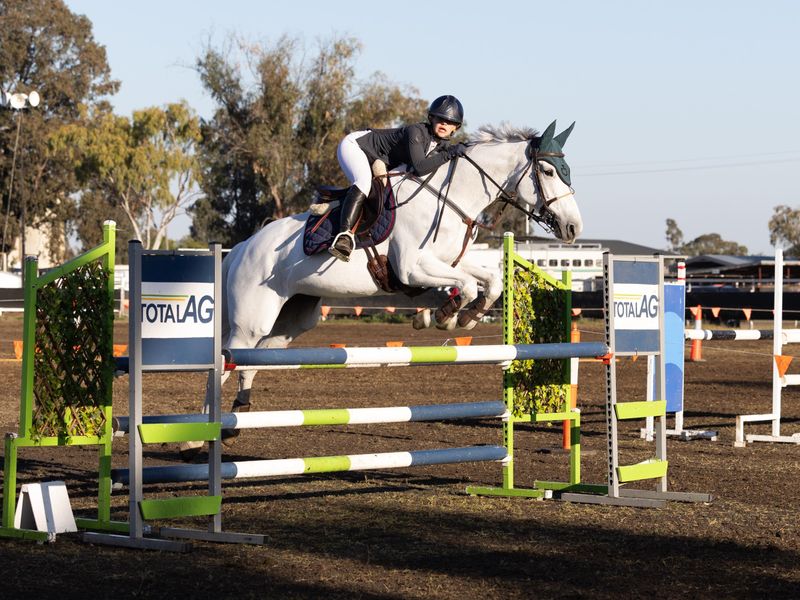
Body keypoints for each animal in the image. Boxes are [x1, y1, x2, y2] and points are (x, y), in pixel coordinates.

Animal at [180, 120, 582, 457]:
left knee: (251, 363)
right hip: (251, 321)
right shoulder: (414, 267)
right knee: (222, 364)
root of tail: (242, 248)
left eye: (567, 172)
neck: (451, 198)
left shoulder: (447, 263)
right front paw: (446, 315)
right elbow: (467, 286)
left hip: (290, 322)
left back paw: (235, 423)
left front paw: (460, 317)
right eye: (548, 172)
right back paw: (197, 438)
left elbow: (491, 281)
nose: (573, 228)